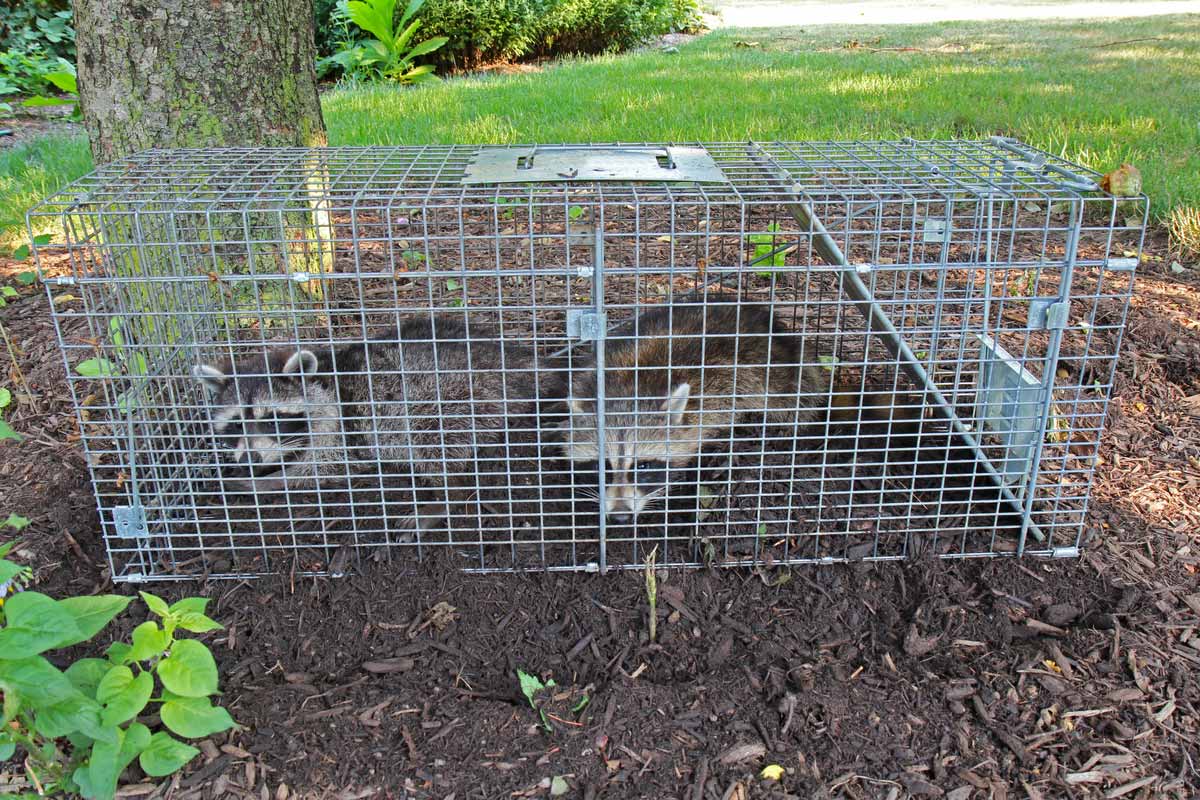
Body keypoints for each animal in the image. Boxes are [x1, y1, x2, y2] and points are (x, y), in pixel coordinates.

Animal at [193, 314, 549, 532]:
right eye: (236, 424)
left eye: (271, 420)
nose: (249, 460)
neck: (323, 381)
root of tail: (514, 360)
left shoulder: (342, 428)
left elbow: (320, 468)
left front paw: (269, 481)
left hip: (457, 398)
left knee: (431, 441)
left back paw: (446, 498)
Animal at [559, 297, 825, 522]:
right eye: (602, 466)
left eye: (643, 466)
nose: (620, 516)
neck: (627, 387)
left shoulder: (721, 389)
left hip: (779, 370)